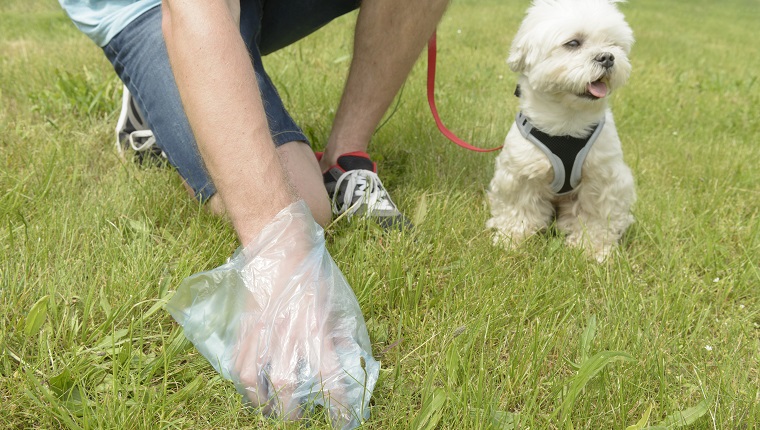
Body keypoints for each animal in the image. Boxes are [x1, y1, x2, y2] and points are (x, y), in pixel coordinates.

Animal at [486, 0, 636, 262]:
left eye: (614, 44)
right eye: (573, 43)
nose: (608, 57)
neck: (567, 123)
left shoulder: (603, 179)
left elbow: (597, 217)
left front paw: (593, 249)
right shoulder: (520, 172)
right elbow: (517, 208)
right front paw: (511, 239)